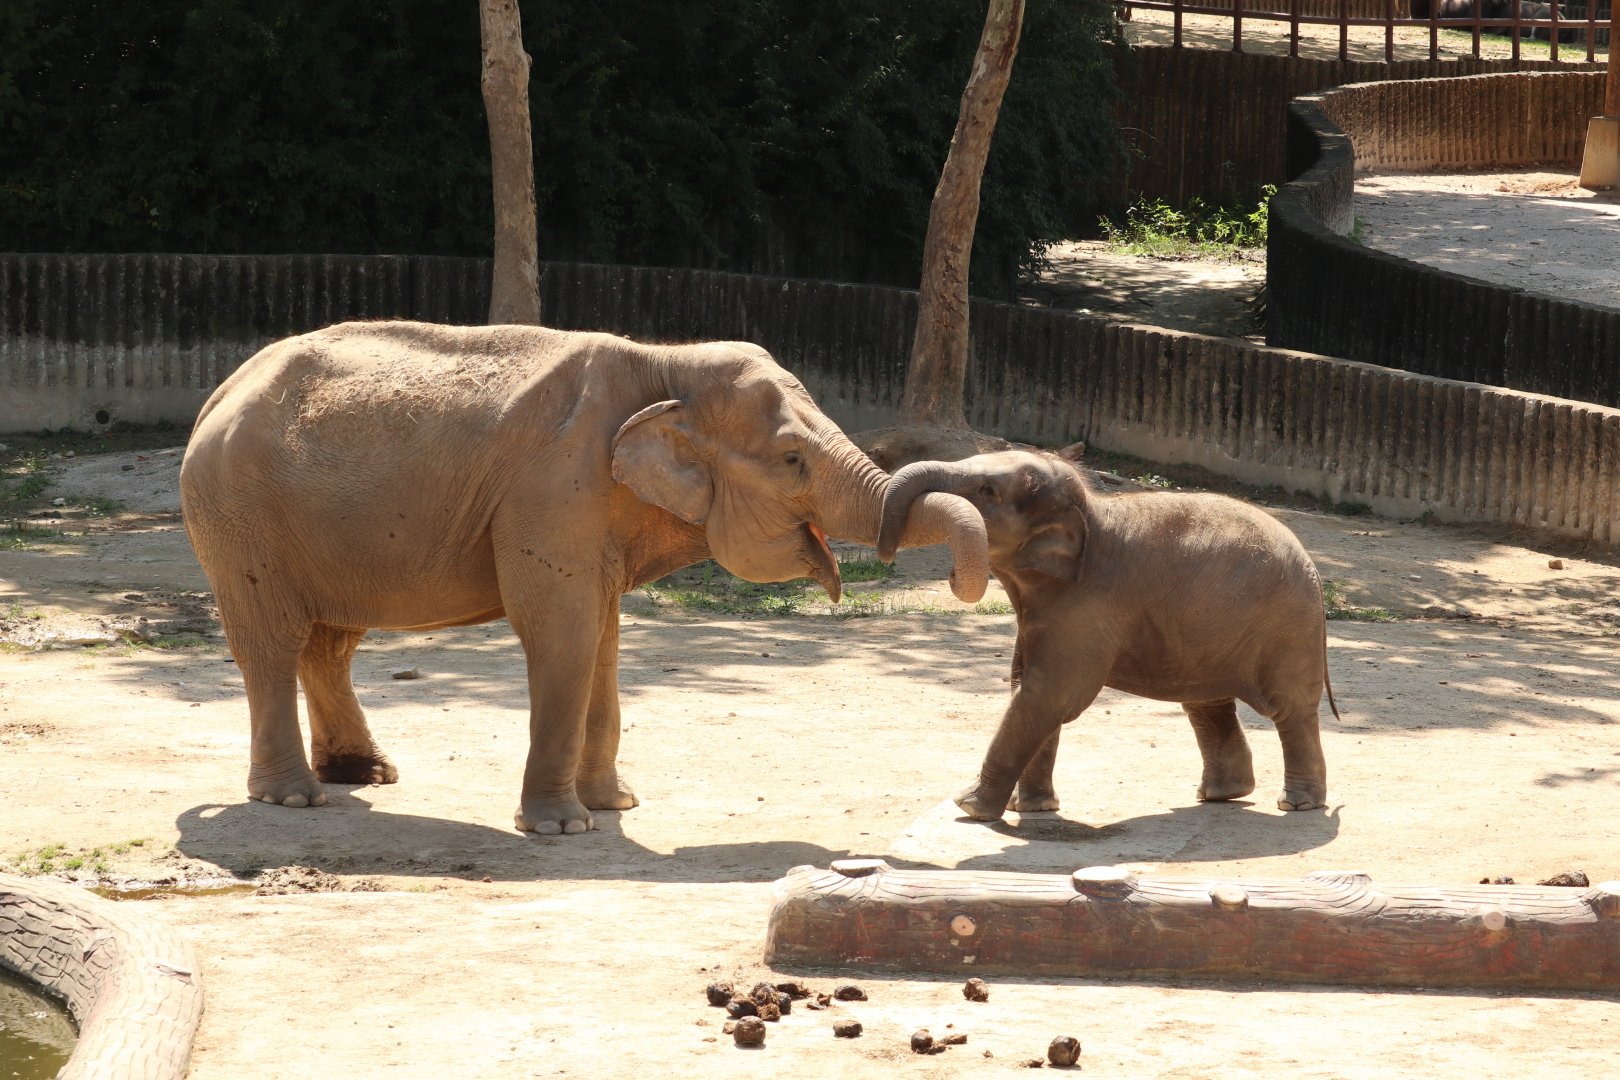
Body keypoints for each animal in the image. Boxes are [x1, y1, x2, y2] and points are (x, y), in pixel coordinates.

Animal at [180, 320, 988, 834]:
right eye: (793, 459)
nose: (958, 582)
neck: (664, 364)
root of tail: (219, 390)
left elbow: (604, 635)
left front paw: (615, 806)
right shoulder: (553, 491)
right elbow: (562, 631)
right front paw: (564, 828)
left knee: (329, 643)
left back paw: (365, 777)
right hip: (241, 516)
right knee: (273, 642)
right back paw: (293, 801)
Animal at [877, 450, 1336, 823]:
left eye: (987, 490)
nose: (885, 555)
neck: (1091, 514)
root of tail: (1313, 570)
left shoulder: (1087, 607)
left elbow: (1049, 695)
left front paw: (970, 808)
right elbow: (1027, 688)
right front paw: (1033, 809)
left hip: (1289, 626)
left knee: (1289, 708)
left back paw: (1296, 804)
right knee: (1205, 702)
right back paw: (1221, 795)